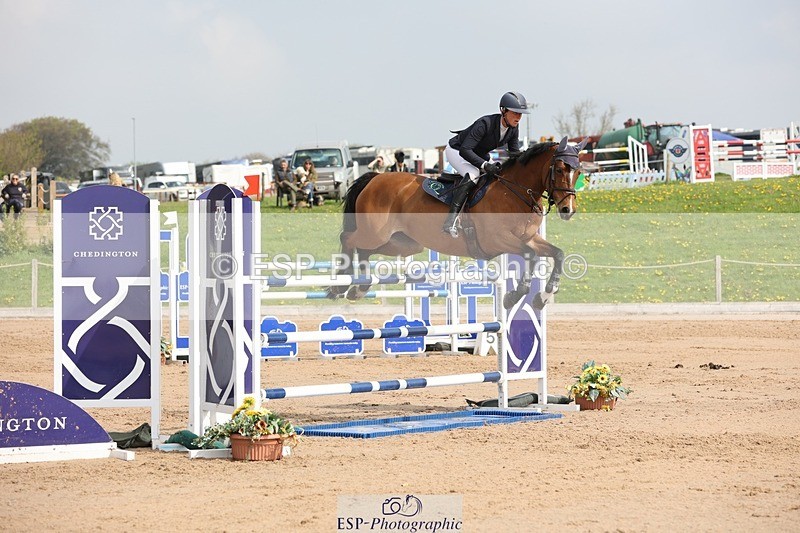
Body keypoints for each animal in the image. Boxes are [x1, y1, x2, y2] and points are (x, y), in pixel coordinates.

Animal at [326, 136, 587, 310]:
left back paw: (358, 288)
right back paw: (340, 285)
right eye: (560, 169)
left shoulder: (530, 238)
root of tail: (374, 179)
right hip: (375, 233)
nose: (568, 210)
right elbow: (530, 255)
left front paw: (543, 297)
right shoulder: (497, 240)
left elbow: (557, 254)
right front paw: (515, 296)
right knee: (347, 239)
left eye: (578, 171)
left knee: (364, 250)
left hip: (403, 243)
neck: (515, 192)